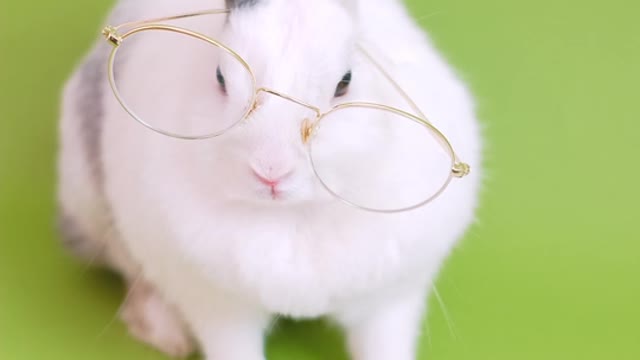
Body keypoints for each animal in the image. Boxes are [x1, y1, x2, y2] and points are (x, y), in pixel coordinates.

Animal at [58, 0, 480, 358]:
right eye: (220, 78)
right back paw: (168, 335)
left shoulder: (390, 303)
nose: (271, 171)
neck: (291, 216)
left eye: (345, 83)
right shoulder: (218, 308)